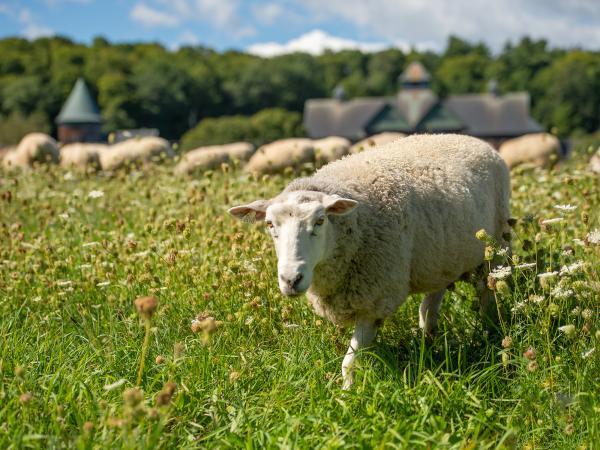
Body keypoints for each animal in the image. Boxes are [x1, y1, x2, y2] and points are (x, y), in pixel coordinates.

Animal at [230, 134, 510, 390]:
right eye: (270, 224)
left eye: (320, 221)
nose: (291, 279)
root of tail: (470, 138)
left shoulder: (374, 299)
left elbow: (348, 363)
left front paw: (347, 396)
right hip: (439, 257)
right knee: (430, 304)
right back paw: (428, 341)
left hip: (496, 248)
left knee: (488, 296)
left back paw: (491, 333)